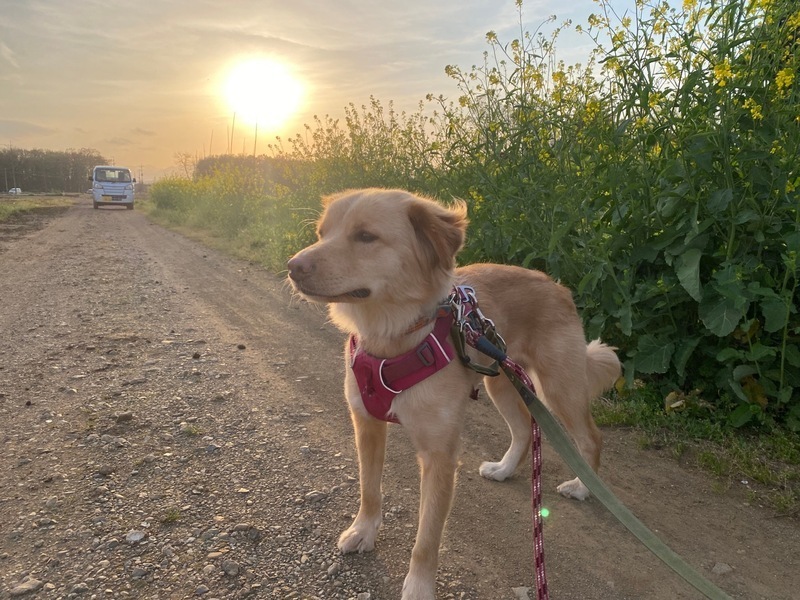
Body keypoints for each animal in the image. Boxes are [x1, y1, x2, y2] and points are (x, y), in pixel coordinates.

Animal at [287, 188, 621, 599]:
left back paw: (582, 487)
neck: (392, 337)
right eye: (322, 233)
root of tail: (557, 285)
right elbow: (369, 490)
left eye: (365, 236)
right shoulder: (365, 425)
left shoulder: (439, 456)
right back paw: (505, 469)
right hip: (500, 381)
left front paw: (418, 588)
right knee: (524, 429)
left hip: (558, 386)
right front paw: (363, 531)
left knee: (590, 437)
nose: (293, 266)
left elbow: (427, 539)